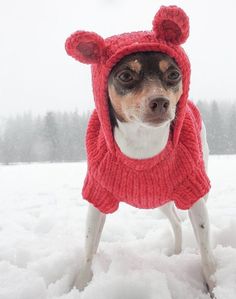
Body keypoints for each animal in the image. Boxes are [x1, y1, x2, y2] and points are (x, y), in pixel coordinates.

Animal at [65, 4, 217, 298]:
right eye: (125, 75)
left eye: (174, 74)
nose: (160, 101)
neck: (144, 145)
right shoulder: (97, 197)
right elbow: (89, 250)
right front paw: (79, 286)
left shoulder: (194, 195)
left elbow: (206, 254)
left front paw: (214, 286)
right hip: (160, 200)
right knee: (176, 222)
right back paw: (176, 252)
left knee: (181, 220)